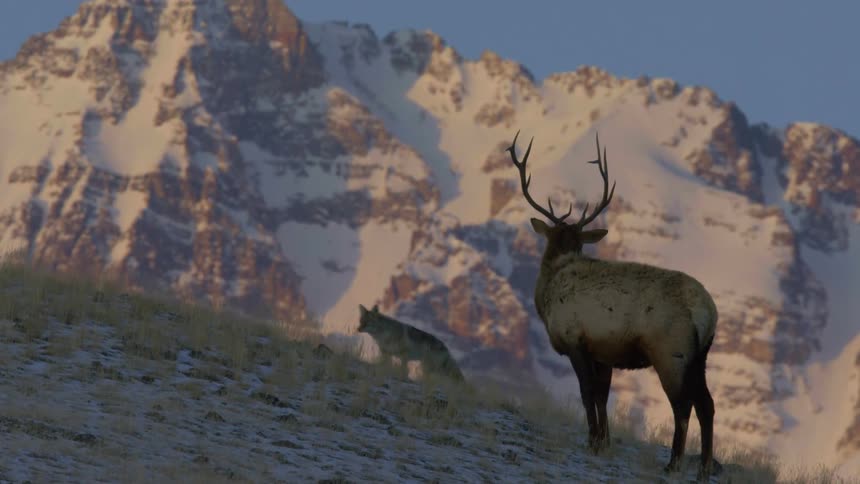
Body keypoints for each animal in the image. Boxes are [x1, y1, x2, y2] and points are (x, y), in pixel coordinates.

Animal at [506, 131, 719, 480]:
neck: (547, 292)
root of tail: (708, 313)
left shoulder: (575, 338)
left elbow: (587, 391)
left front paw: (592, 440)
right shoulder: (603, 350)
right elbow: (603, 394)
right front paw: (604, 442)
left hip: (671, 351)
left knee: (682, 405)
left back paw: (673, 463)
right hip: (700, 356)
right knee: (707, 404)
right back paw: (702, 470)